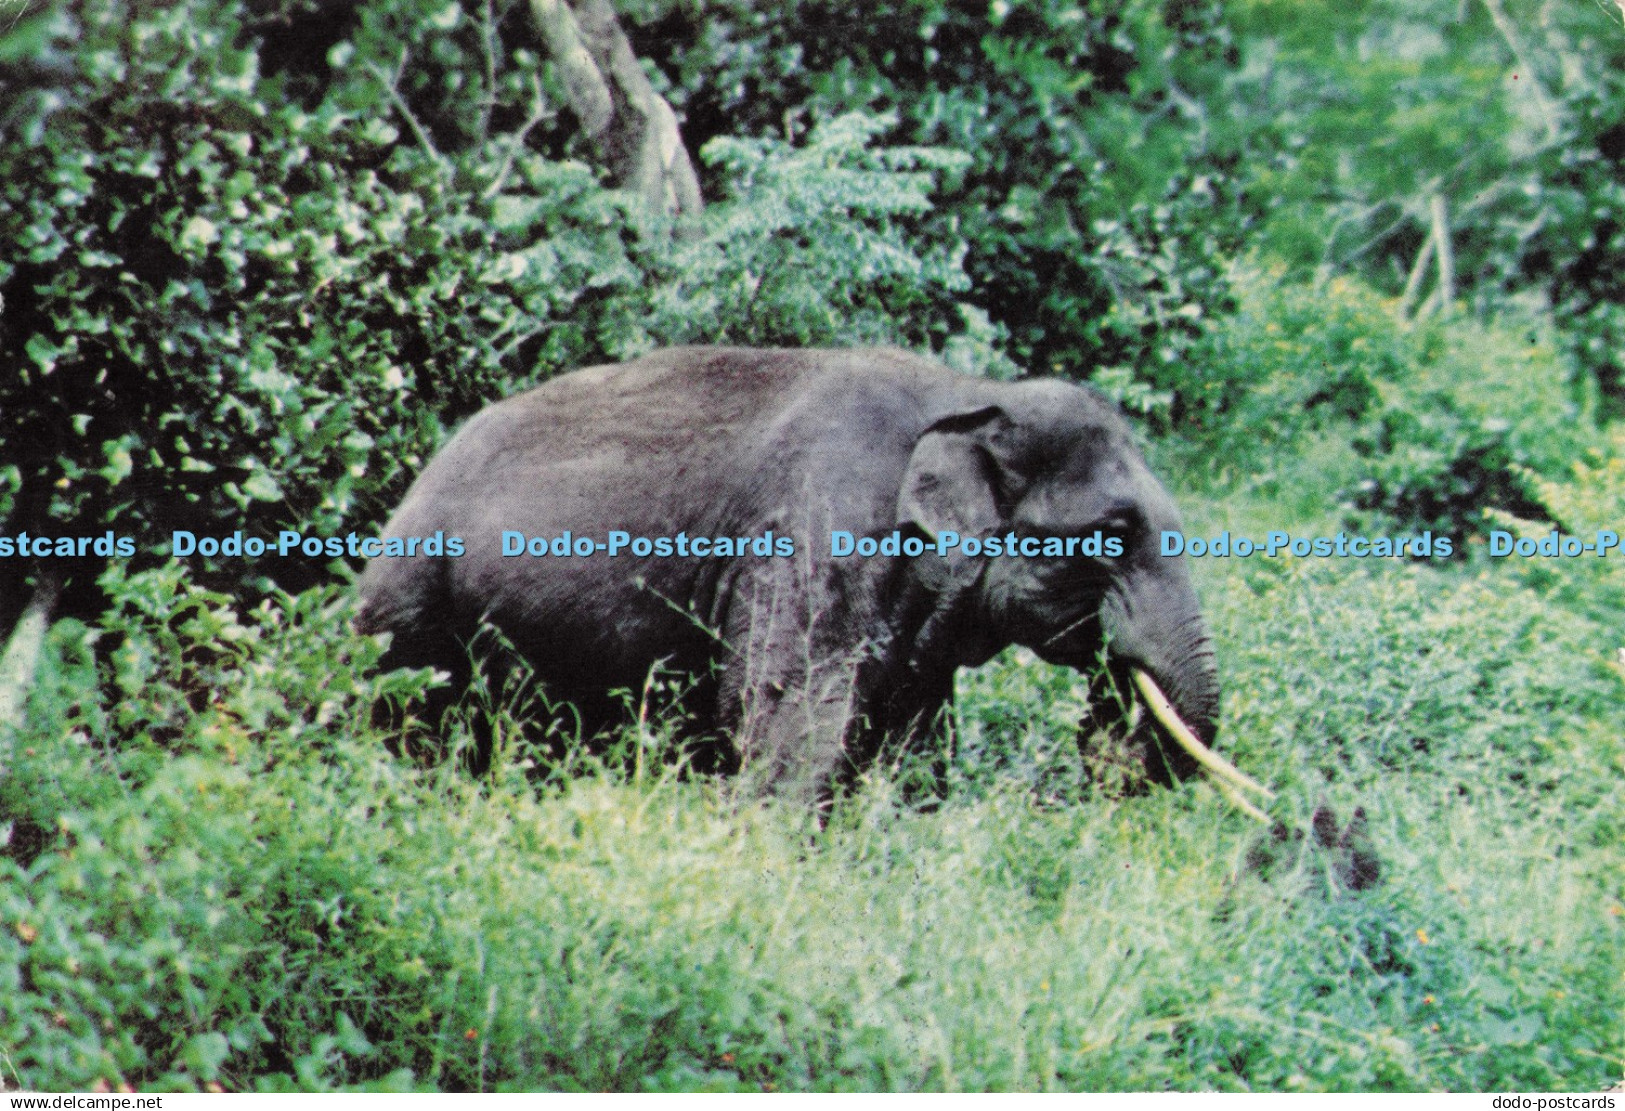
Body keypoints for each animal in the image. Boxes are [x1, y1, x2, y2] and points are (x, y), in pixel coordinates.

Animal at [356, 345, 1264, 811]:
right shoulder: (819, 528)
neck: (975, 395)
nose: (1106, 720)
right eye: (1113, 534)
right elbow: (788, 721)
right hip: (412, 598)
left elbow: (913, 745)